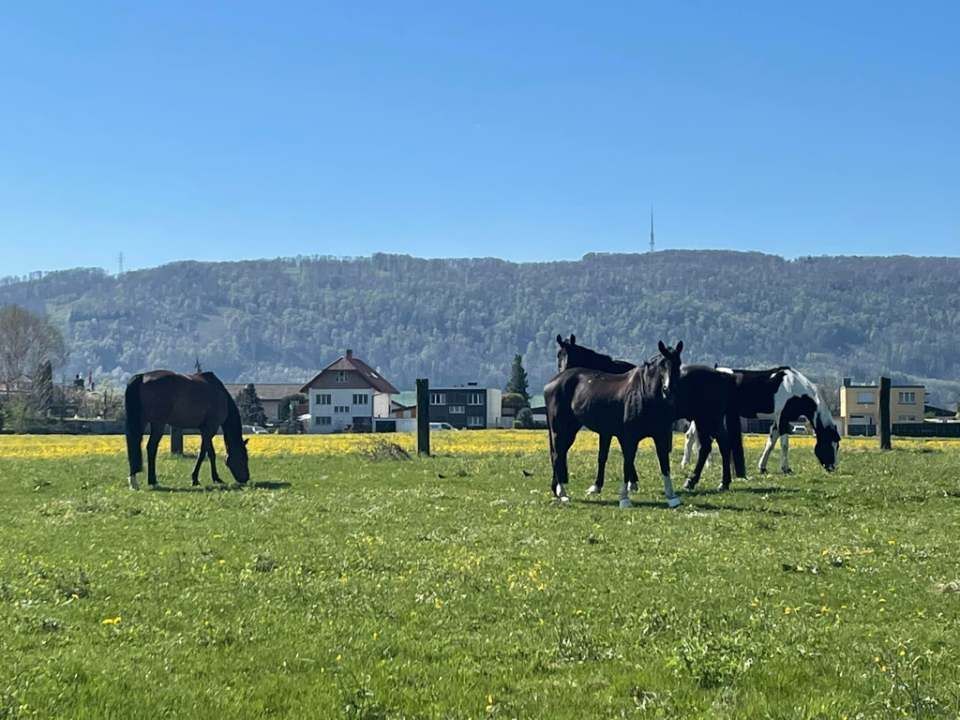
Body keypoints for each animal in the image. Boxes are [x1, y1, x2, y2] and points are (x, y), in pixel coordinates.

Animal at [544, 340, 684, 509]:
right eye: (662, 364)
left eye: (678, 363)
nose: (668, 389)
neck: (643, 393)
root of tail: (552, 382)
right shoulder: (628, 438)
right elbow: (627, 462)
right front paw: (624, 498)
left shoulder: (660, 436)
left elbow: (665, 465)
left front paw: (672, 498)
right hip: (560, 430)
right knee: (557, 455)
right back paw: (563, 494)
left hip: (570, 430)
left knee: (559, 454)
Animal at [682, 366, 840, 478]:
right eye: (829, 445)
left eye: (837, 446)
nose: (833, 467)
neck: (794, 387)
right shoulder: (783, 418)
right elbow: (784, 445)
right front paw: (786, 468)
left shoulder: (777, 421)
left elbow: (770, 443)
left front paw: (762, 467)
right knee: (692, 436)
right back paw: (689, 464)